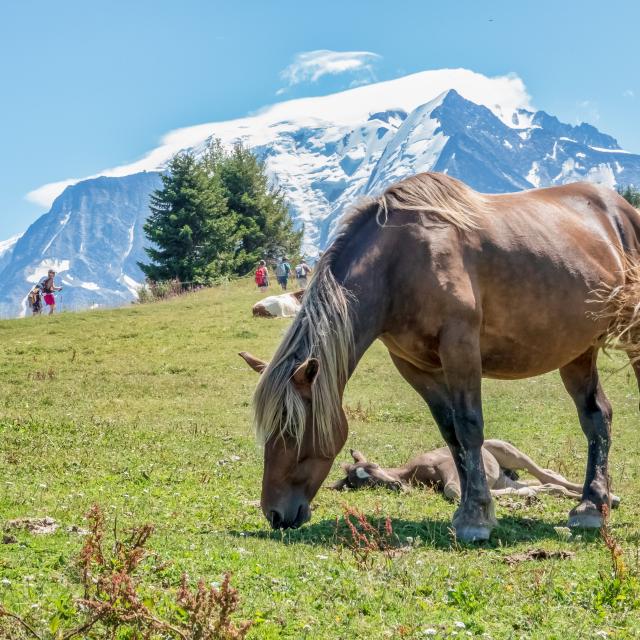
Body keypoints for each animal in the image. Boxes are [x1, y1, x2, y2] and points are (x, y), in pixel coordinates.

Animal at [240, 172, 640, 544]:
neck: (399, 263)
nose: (275, 513)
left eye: (292, 430)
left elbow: (469, 426)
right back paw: (592, 505)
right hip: (578, 351)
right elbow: (450, 433)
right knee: (597, 417)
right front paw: (469, 507)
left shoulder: (459, 348)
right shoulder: (416, 366)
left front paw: (476, 518)